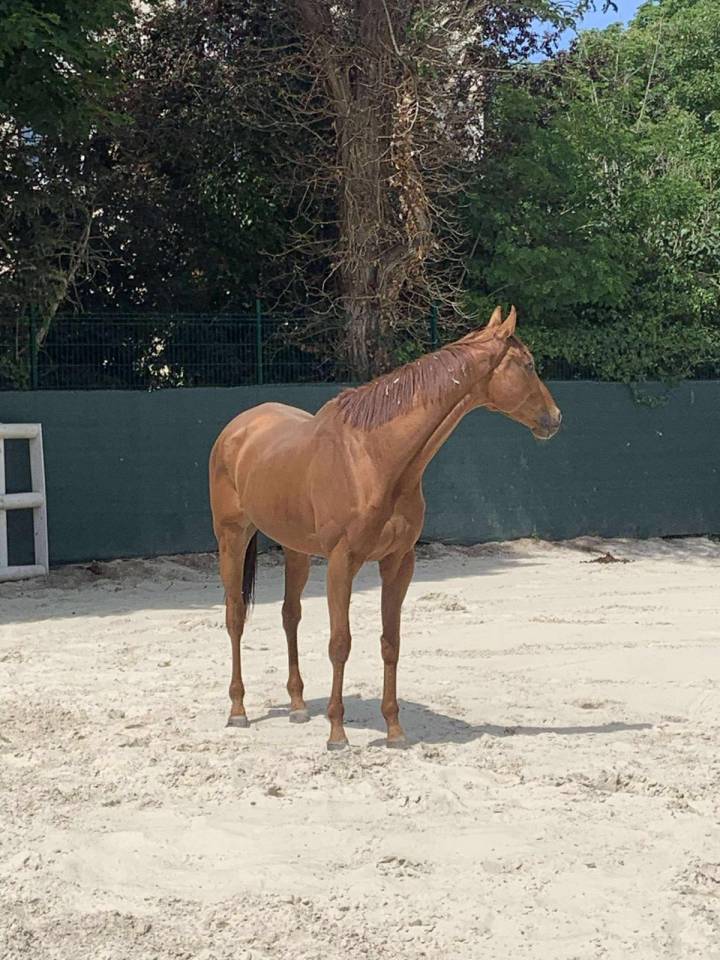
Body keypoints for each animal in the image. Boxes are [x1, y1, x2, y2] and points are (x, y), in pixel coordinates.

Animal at [209, 305, 561, 750]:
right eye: (528, 364)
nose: (554, 418)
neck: (375, 457)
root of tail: (237, 429)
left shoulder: (398, 562)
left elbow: (390, 642)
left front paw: (394, 730)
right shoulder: (342, 562)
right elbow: (340, 643)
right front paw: (337, 733)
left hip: (296, 549)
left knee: (291, 615)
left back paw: (298, 705)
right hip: (232, 538)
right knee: (235, 616)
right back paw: (237, 710)